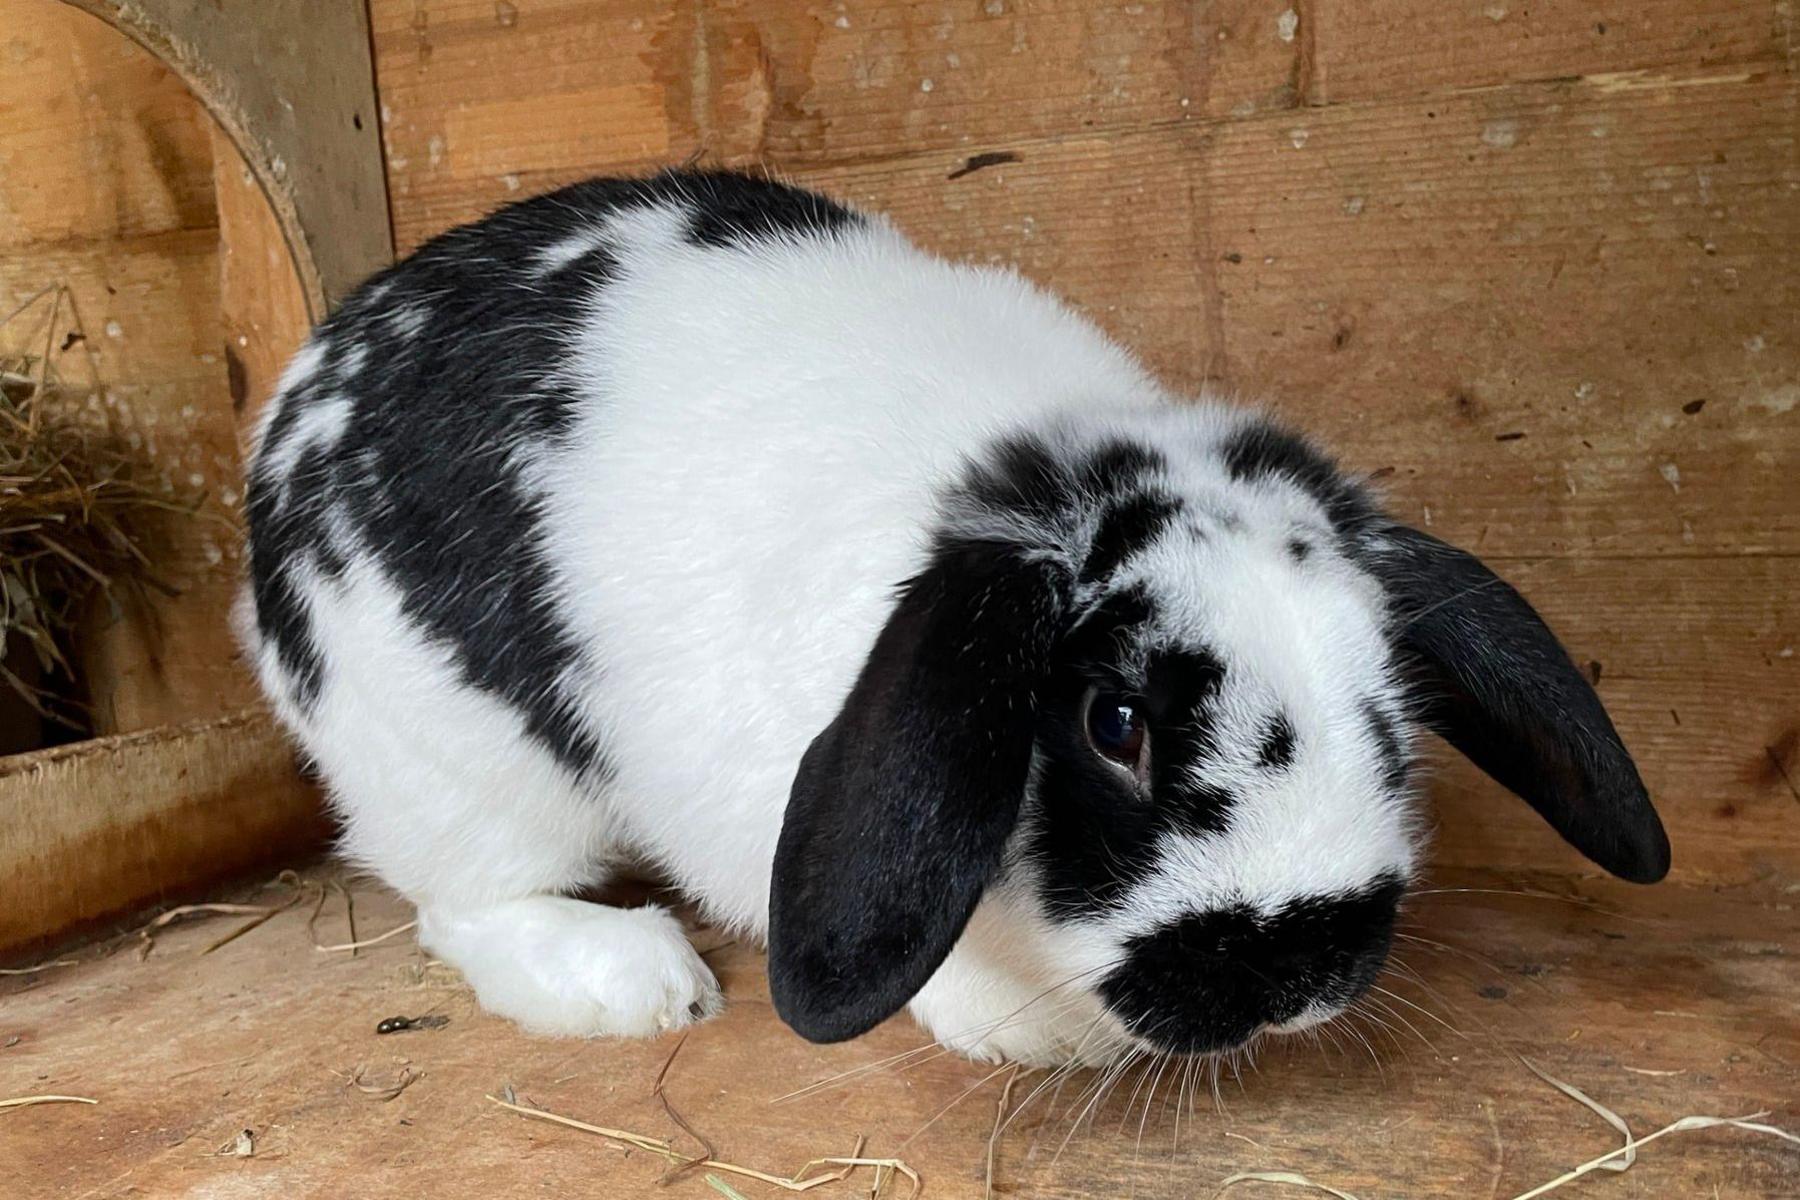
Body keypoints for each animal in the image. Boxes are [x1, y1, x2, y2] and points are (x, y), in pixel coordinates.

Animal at [243, 169, 1670, 1072]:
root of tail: (288, 418)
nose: (1304, 966)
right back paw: (641, 985)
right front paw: (1036, 1032)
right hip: (461, 769)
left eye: (1385, 706)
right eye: (1114, 723)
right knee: (467, 905)